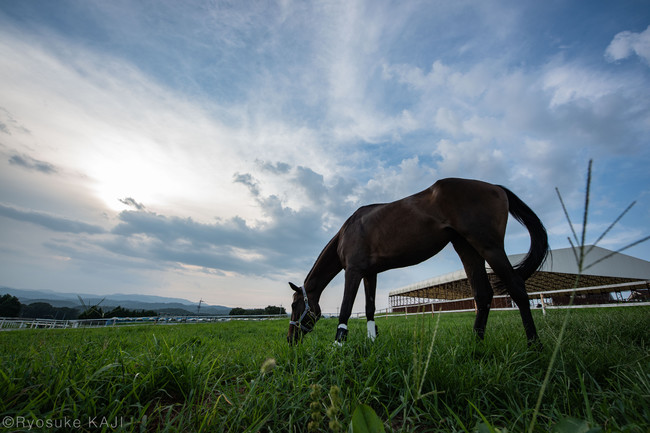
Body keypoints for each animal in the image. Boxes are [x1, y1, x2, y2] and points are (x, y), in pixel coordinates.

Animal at [286, 177, 544, 346]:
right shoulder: (370, 273)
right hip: (467, 248)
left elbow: (346, 308)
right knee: (482, 294)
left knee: (516, 287)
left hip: (489, 246)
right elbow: (369, 308)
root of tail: (496, 187)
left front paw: (338, 345)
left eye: (294, 305)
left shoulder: (353, 271)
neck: (347, 231)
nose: (290, 339)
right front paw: (372, 340)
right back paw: (476, 343)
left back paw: (534, 345)